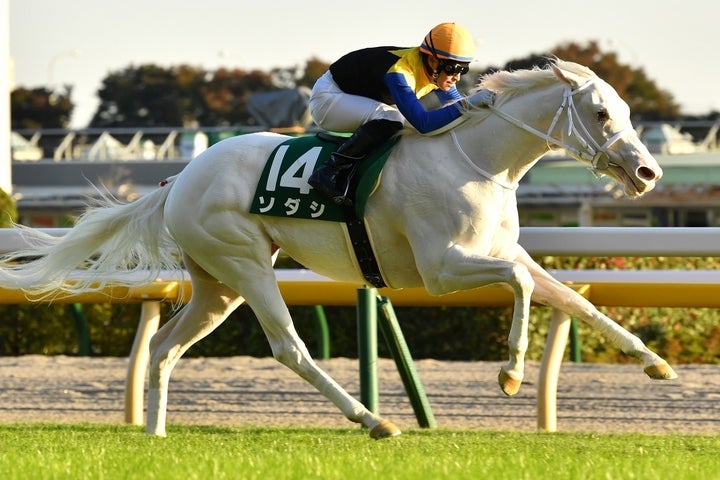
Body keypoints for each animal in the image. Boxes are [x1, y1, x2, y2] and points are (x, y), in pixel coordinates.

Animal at [0, 59, 677, 439]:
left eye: (624, 110)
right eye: (600, 113)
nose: (647, 174)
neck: (476, 160)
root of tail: (180, 178)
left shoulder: (504, 252)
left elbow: (570, 298)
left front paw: (654, 362)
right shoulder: (440, 270)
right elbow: (521, 282)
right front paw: (509, 373)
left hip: (217, 283)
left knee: (164, 346)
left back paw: (157, 435)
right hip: (246, 265)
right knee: (289, 348)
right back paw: (373, 421)